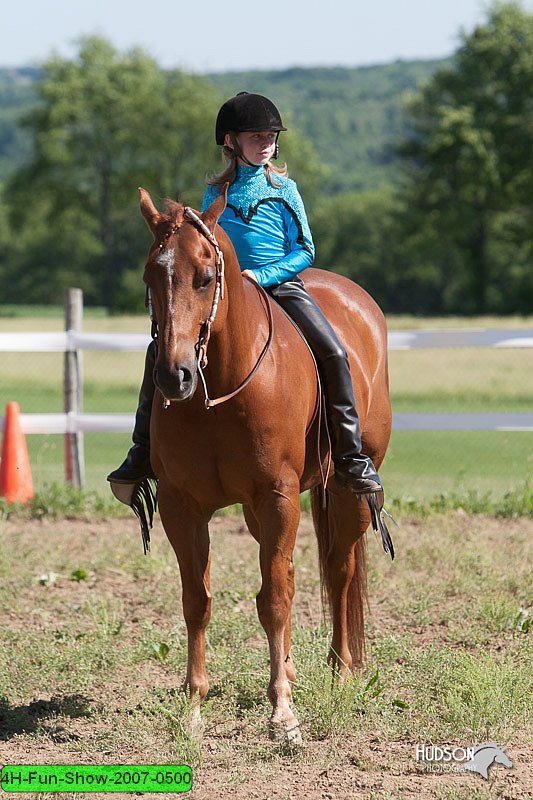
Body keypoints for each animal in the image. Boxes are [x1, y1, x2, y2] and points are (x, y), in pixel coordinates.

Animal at [136, 188, 390, 744]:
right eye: (150, 275)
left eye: (206, 276)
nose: (173, 376)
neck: (219, 392)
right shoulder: (182, 506)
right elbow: (198, 600)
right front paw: (193, 707)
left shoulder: (277, 497)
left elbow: (274, 598)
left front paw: (283, 714)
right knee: (294, 572)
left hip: (348, 491)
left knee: (338, 570)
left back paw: (341, 670)